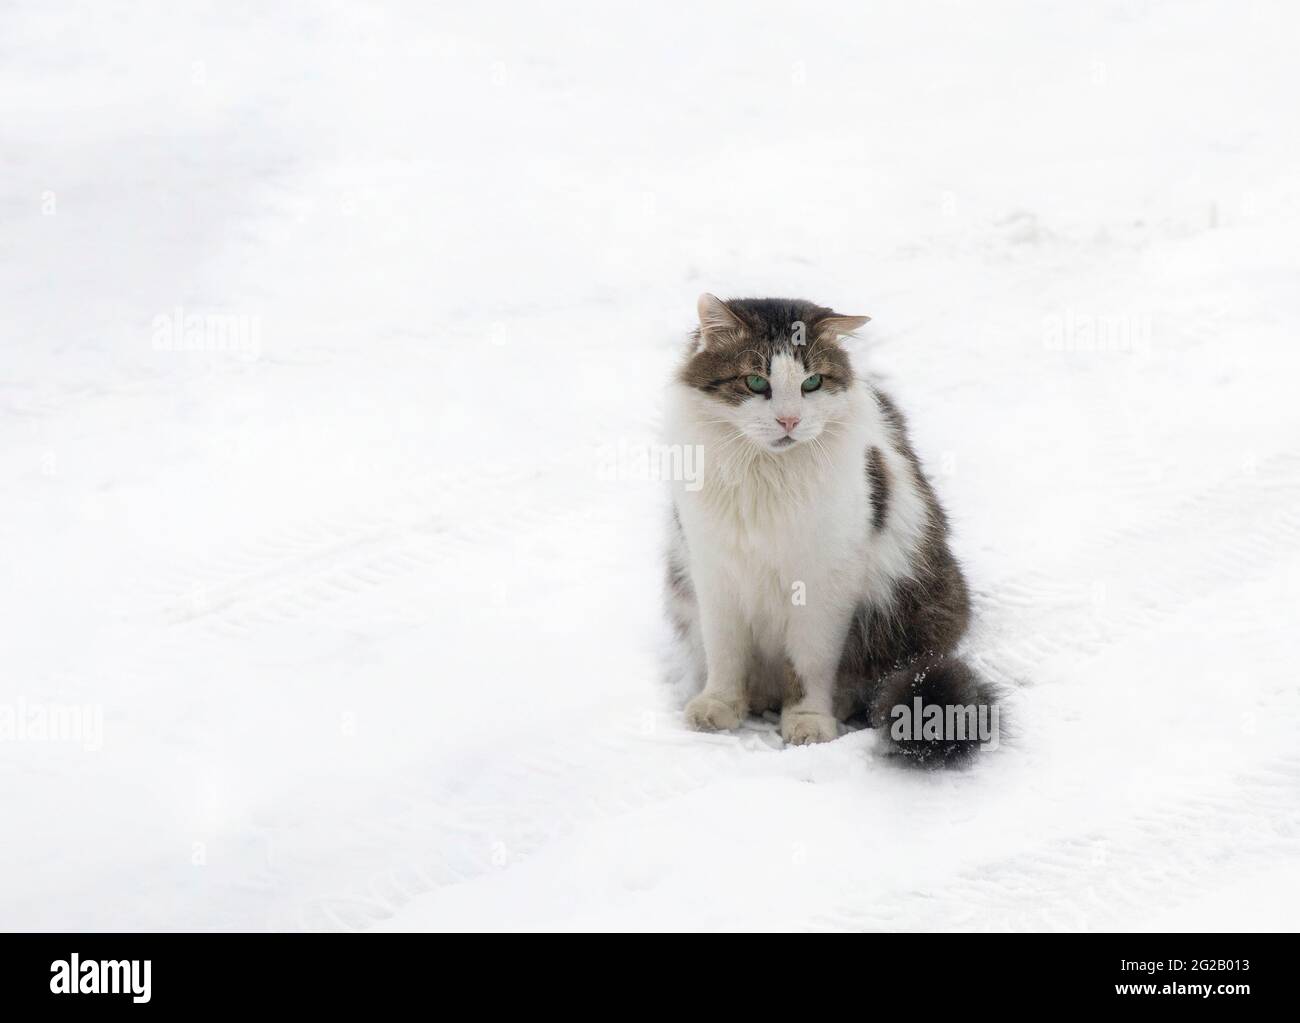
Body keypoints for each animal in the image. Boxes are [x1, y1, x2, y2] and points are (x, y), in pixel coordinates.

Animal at [665, 292, 998, 764]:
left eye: (812, 384)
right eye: (755, 382)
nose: (788, 421)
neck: (768, 475)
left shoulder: (824, 582)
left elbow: (809, 664)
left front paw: (808, 721)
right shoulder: (713, 571)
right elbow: (725, 654)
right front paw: (720, 705)